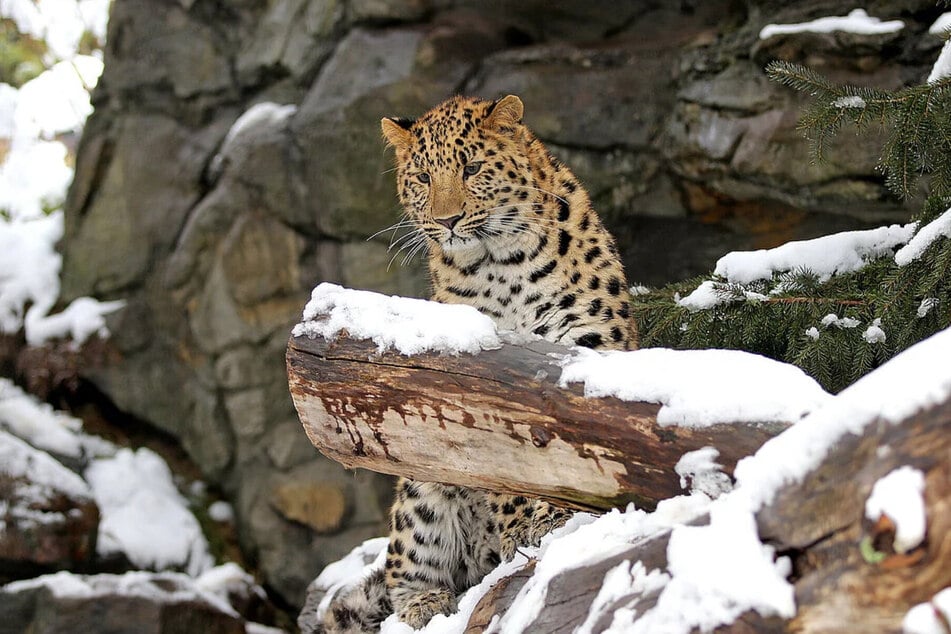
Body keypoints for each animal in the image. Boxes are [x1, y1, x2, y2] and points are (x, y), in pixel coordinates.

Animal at [314, 94, 640, 632]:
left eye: (471, 168)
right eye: (424, 177)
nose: (447, 220)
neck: (501, 264)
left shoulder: (587, 340)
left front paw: (550, 517)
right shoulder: (468, 386)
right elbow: (499, 465)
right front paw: (523, 527)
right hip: (419, 486)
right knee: (401, 578)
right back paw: (427, 602)